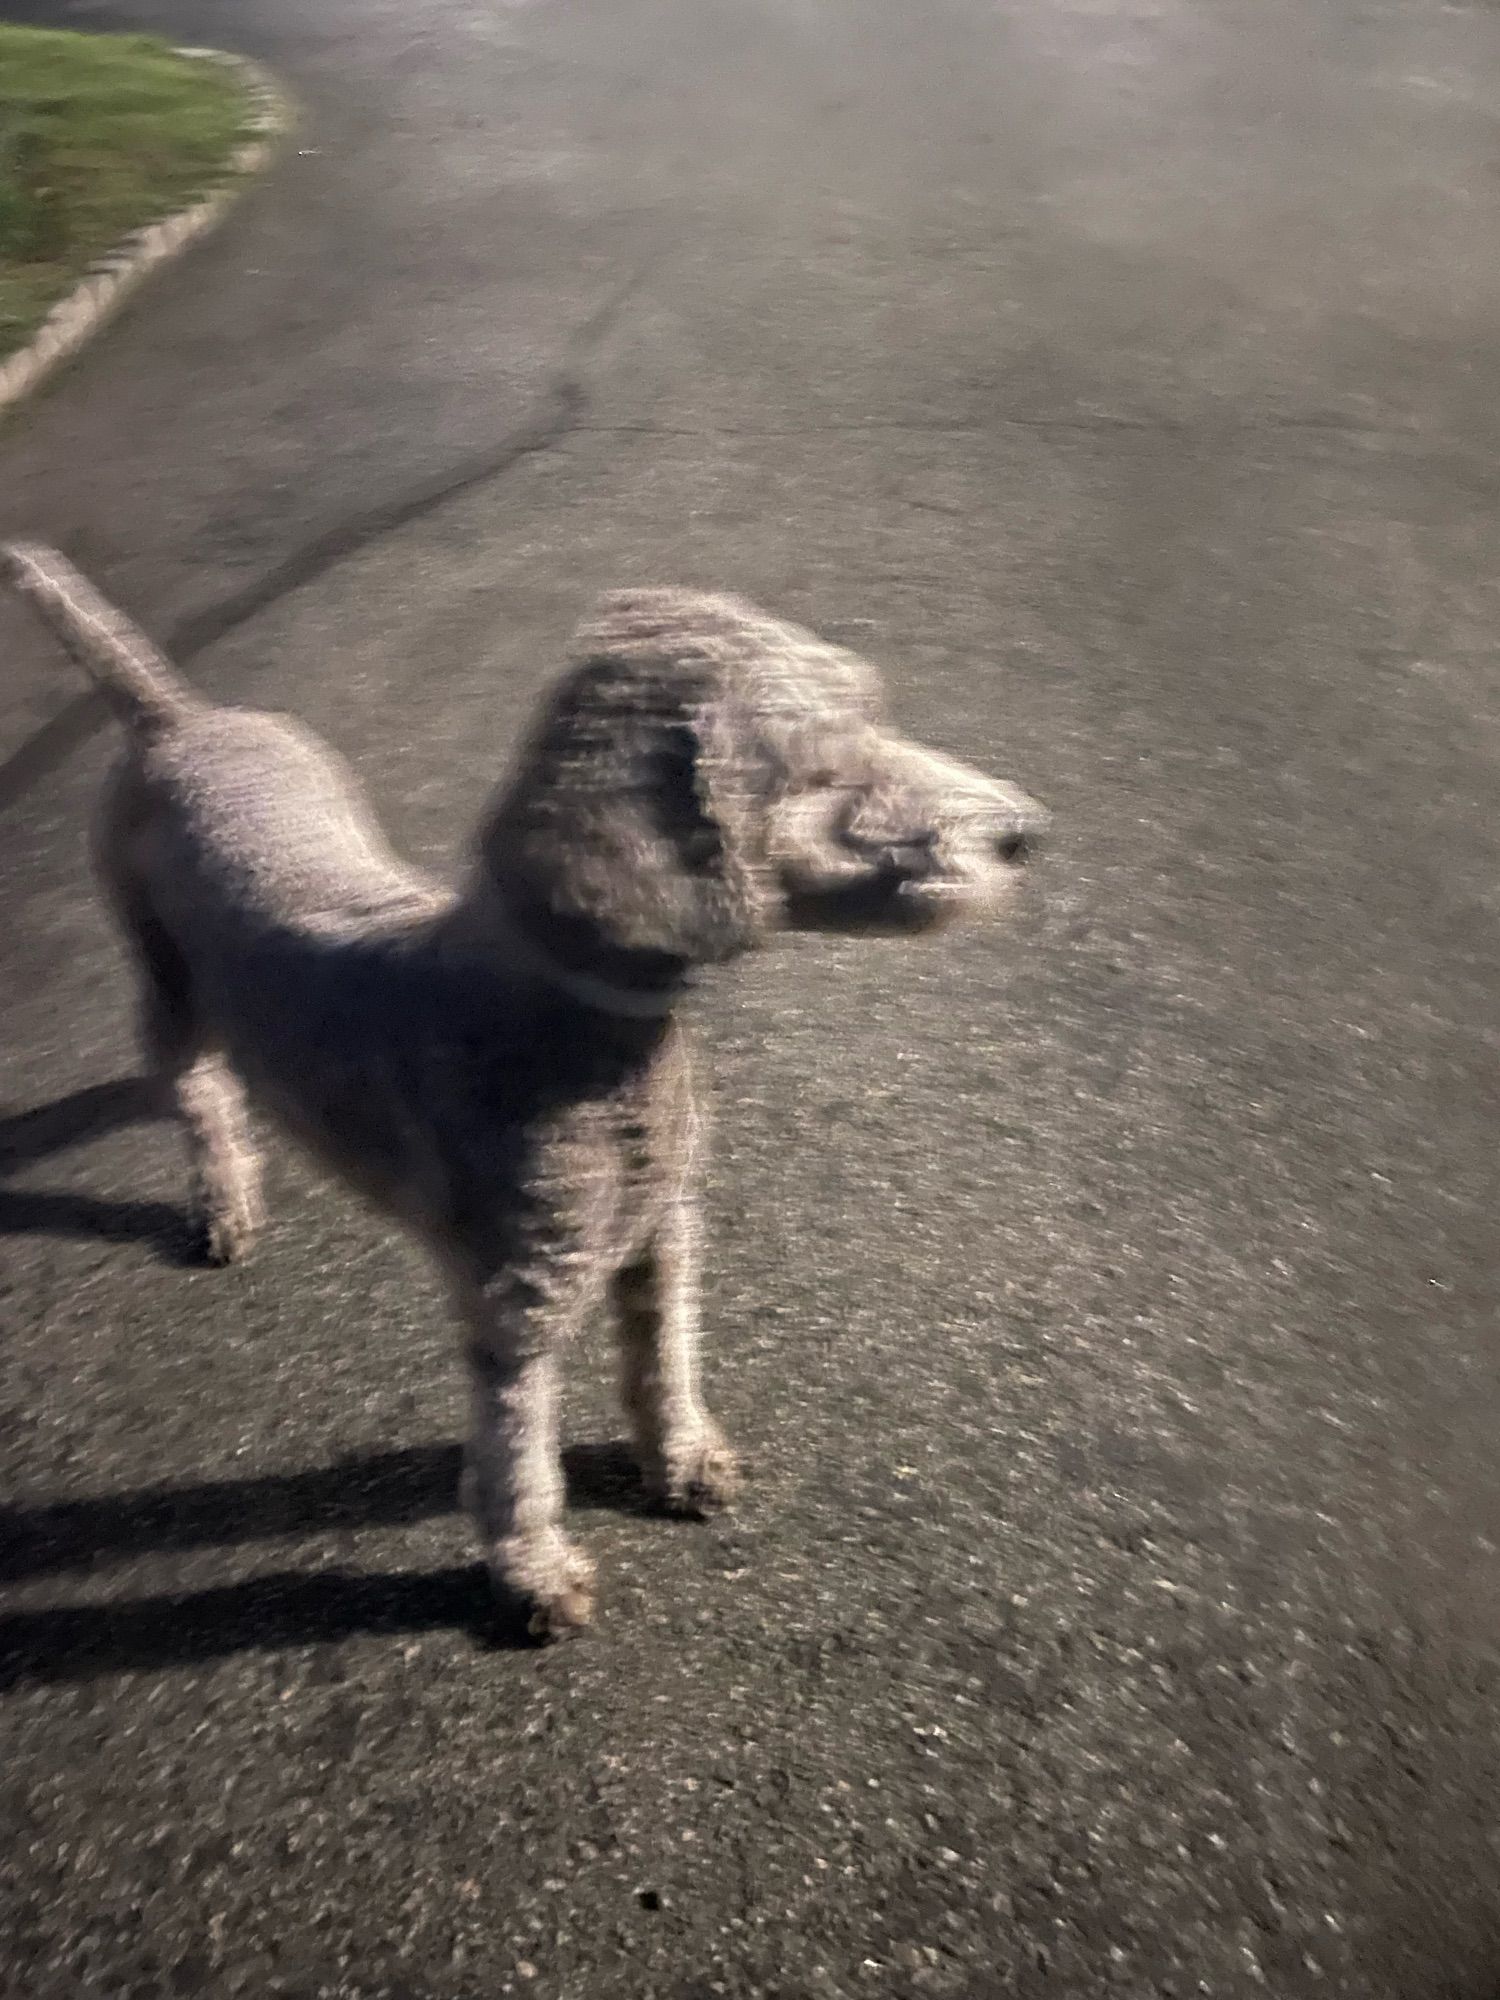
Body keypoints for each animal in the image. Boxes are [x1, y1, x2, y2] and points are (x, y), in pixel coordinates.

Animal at [2, 540, 1048, 1632]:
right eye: (829, 762)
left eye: (876, 713)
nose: (1027, 831)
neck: (583, 1026)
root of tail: (178, 716)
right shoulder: (520, 1291)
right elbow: (516, 1453)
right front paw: (532, 1575)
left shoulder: (661, 1229)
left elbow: (665, 1356)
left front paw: (681, 1460)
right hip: (161, 972)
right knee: (197, 1092)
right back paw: (225, 1205)